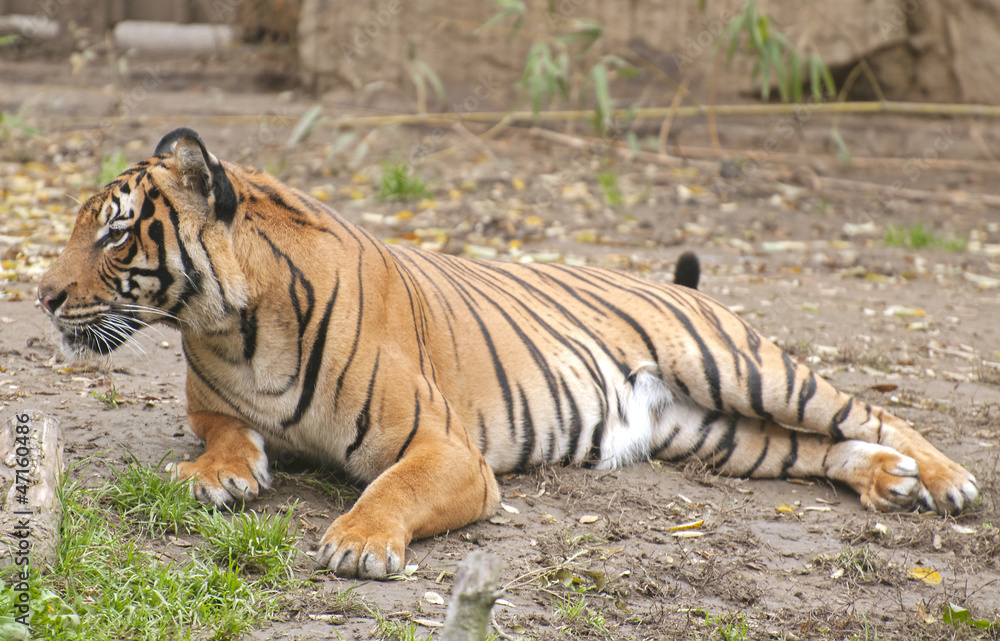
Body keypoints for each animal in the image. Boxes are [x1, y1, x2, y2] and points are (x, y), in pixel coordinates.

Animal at [38, 128, 979, 579]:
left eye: (115, 233)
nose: (42, 295)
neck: (229, 325)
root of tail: (682, 287)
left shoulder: (447, 449)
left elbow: (391, 487)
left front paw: (360, 544)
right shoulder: (214, 404)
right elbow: (226, 436)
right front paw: (215, 476)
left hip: (745, 367)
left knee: (870, 410)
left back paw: (942, 479)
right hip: (719, 435)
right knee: (821, 446)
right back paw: (886, 479)